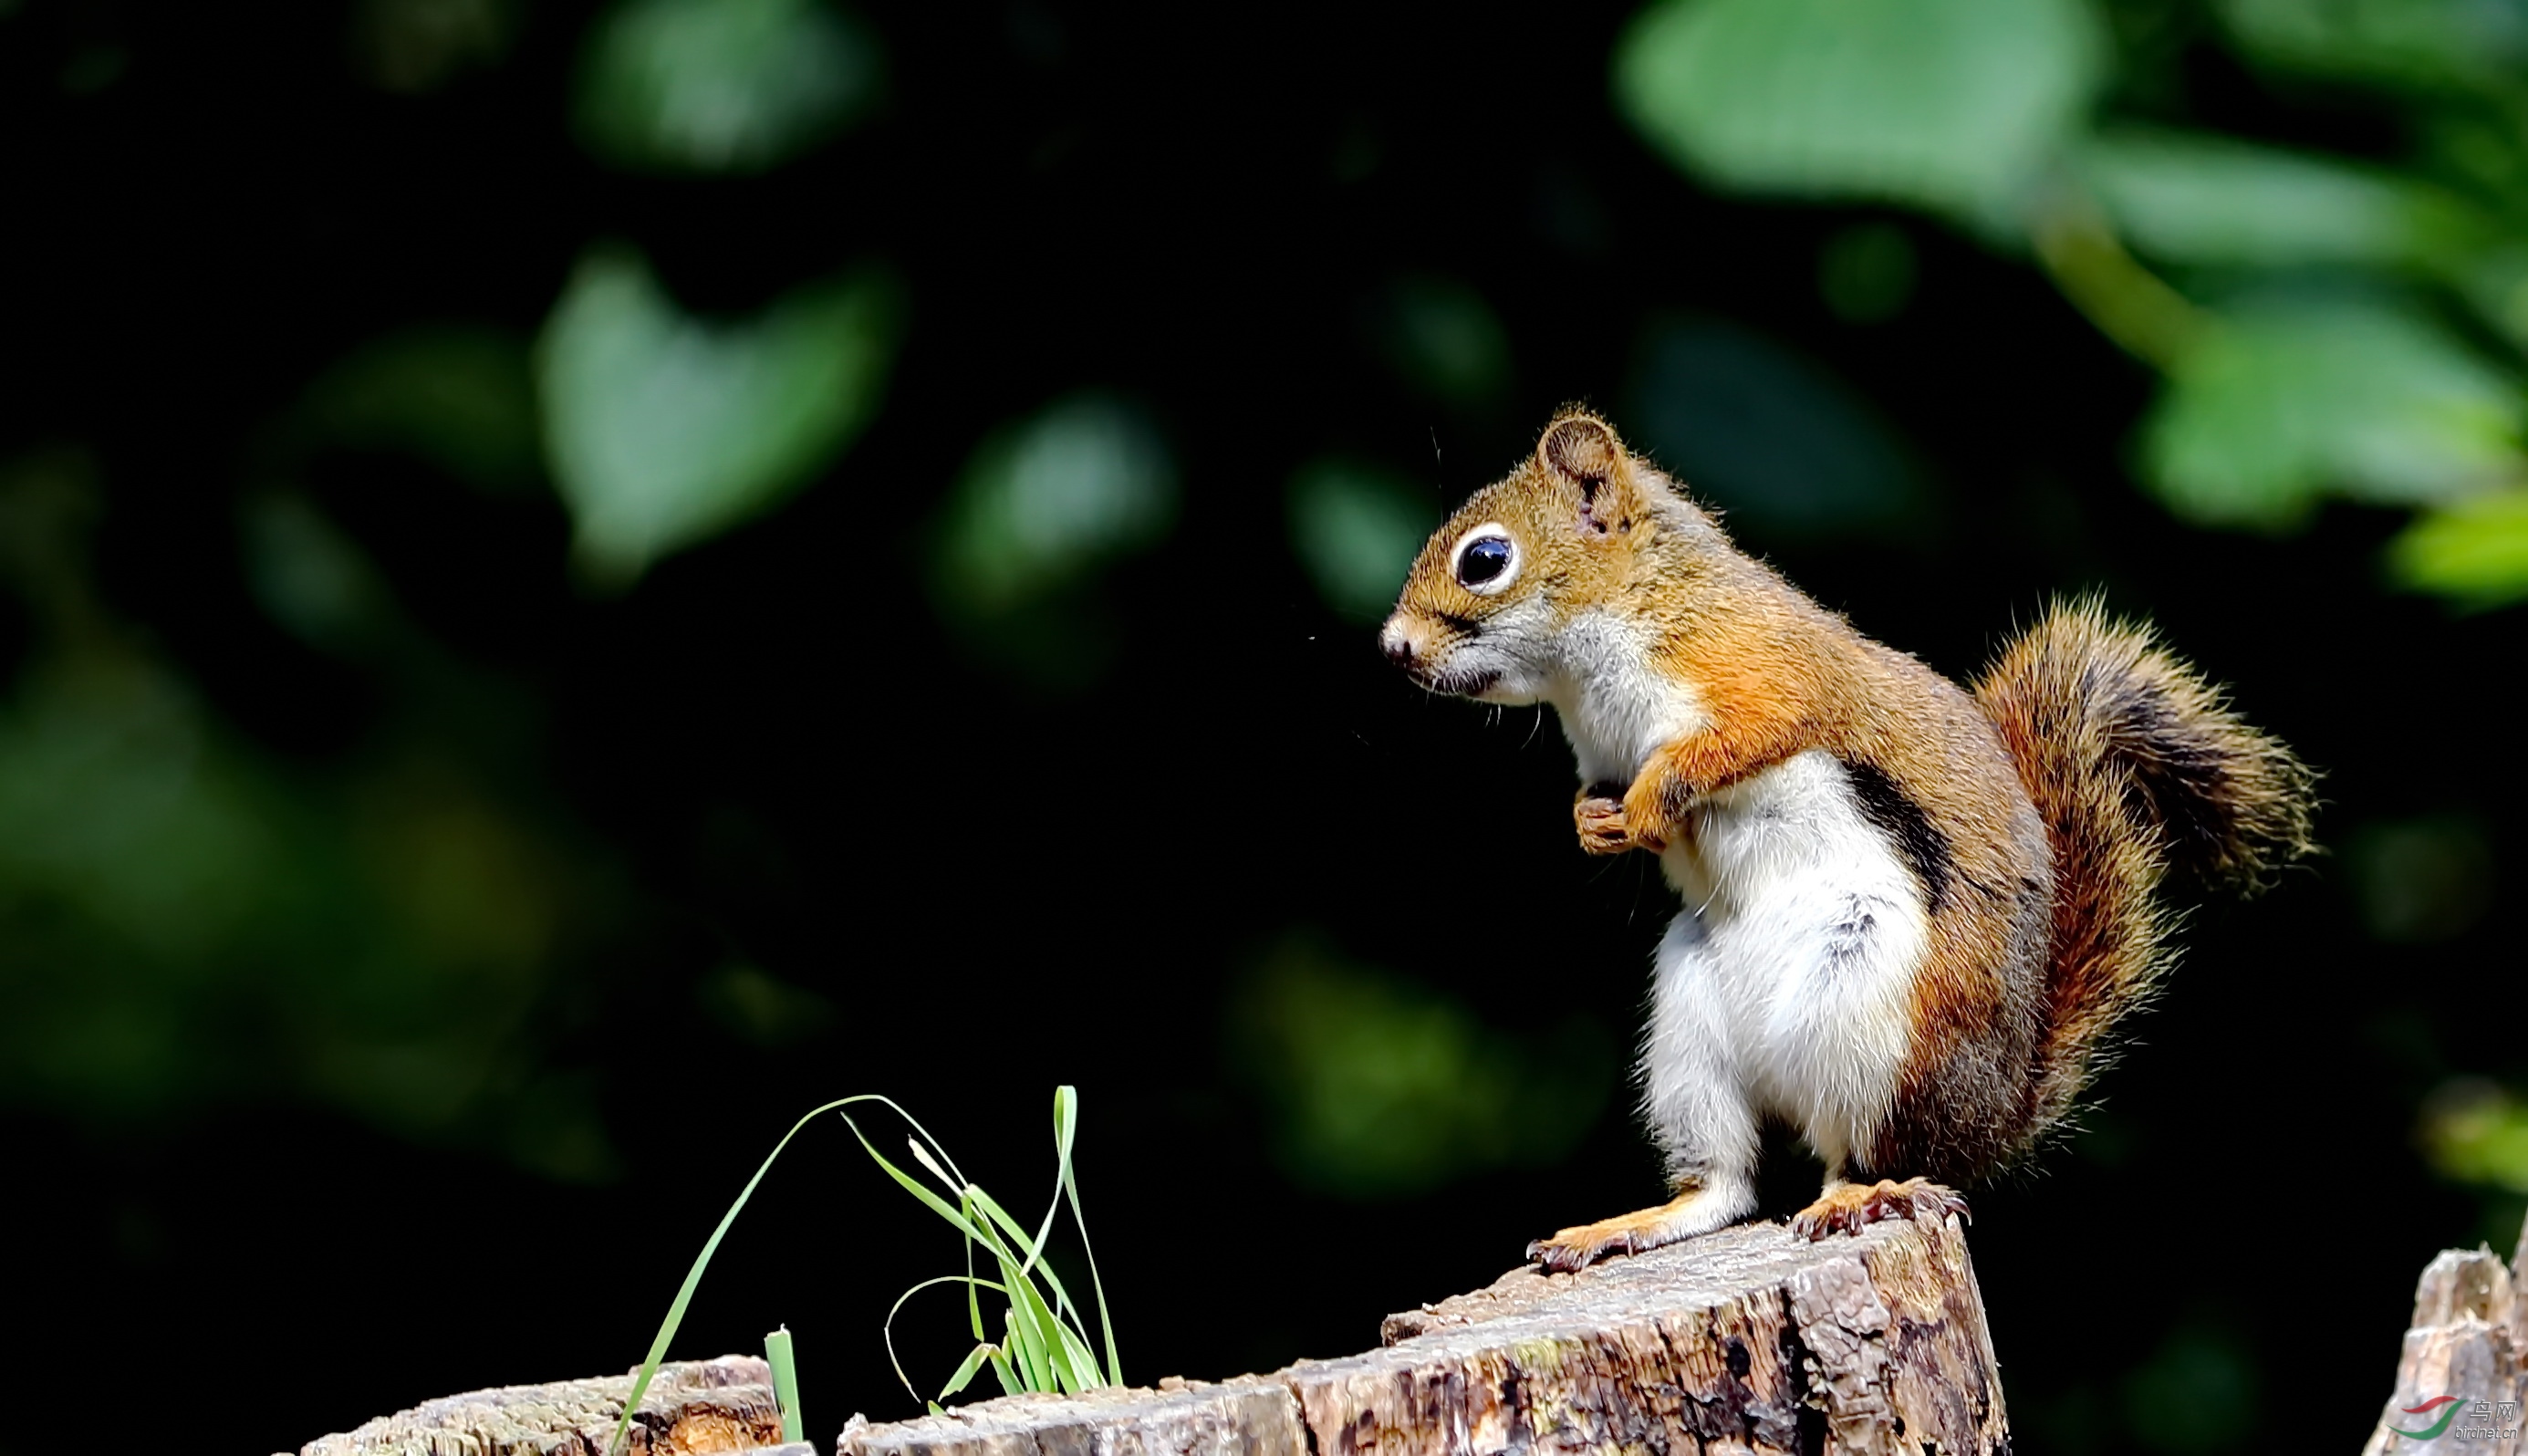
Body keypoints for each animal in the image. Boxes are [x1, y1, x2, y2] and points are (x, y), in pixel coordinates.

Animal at [1385, 409, 2315, 1274]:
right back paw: (1631, 1224)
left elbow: (1733, 743)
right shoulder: (1603, 755)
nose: (1393, 648)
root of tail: (1993, 1118)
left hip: (1871, 1016)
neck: (1595, 667)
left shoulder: (1764, 675)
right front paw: (1595, 826)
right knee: (1726, 1186)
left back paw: (1857, 1197)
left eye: (1483, 559)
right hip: (1691, 1034)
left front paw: (1651, 803)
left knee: (1866, 1156)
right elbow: (1603, 802)